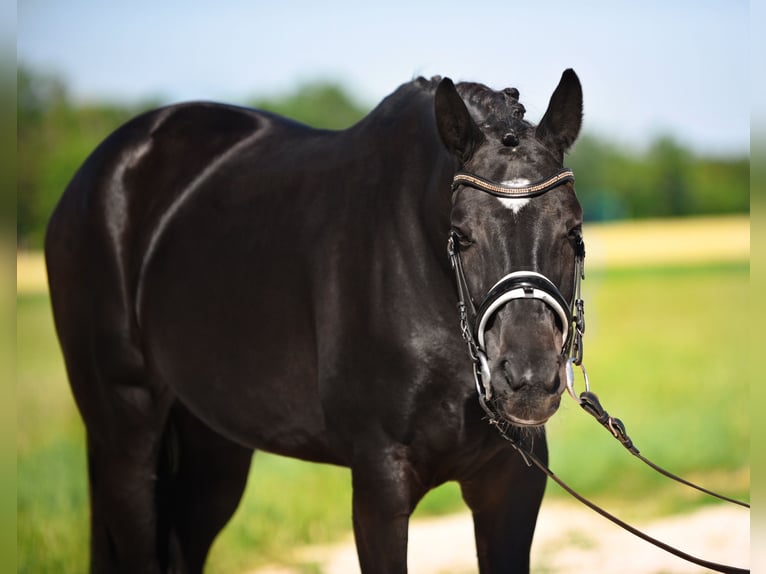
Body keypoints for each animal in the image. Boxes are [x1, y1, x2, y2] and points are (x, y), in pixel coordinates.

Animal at [45, 70, 584, 572]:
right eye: (461, 235)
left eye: (573, 229)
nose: (528, 380)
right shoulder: (380, 485)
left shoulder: (511, 486)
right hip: (126, 435)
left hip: (211, 449)